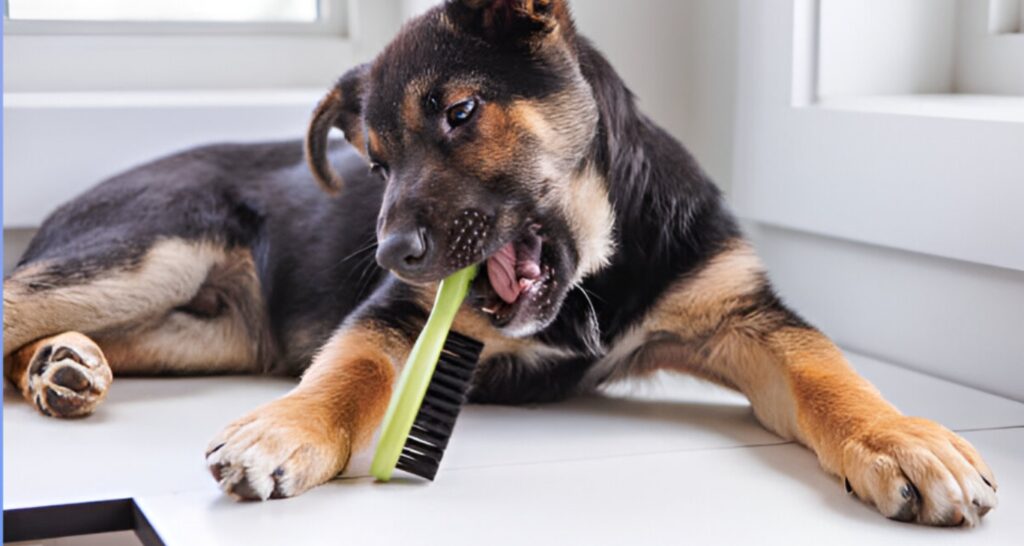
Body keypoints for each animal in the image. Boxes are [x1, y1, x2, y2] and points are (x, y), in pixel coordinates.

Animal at [2, 1, 991, 528]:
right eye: (373, 160)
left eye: (461, 111)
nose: (390, 253)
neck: (596, 272)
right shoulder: (399, 315)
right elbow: (349, 374)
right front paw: (283, 432)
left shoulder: (740, 315)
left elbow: (828, 375)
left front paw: (903, 440)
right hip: (150, 252)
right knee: (19, 304)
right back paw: (65, 365)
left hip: (203, 329)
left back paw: (67, 370)